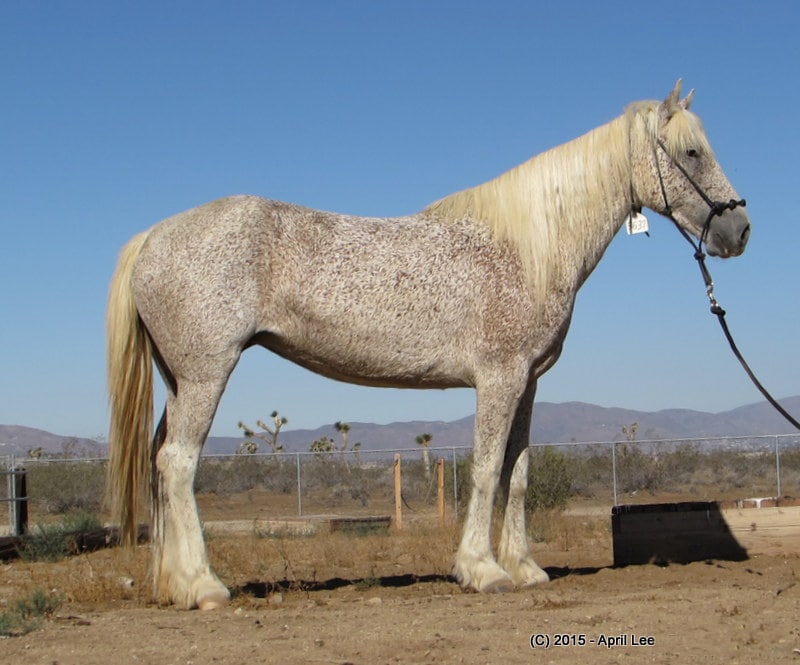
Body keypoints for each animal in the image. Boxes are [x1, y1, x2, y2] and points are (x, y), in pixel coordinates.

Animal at [104, 80, 752, 608]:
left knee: (160, 461)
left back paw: (171, 584)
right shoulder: (499, 377)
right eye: (692, 152)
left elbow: (517, 472)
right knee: (177, 463)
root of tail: (152, 236)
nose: (739, 229)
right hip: (207, 373)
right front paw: (483, 571)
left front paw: (525, 568)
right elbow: (486, 469)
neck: (527, 247)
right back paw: (203, 586)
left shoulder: (527, 382)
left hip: (179, 379)